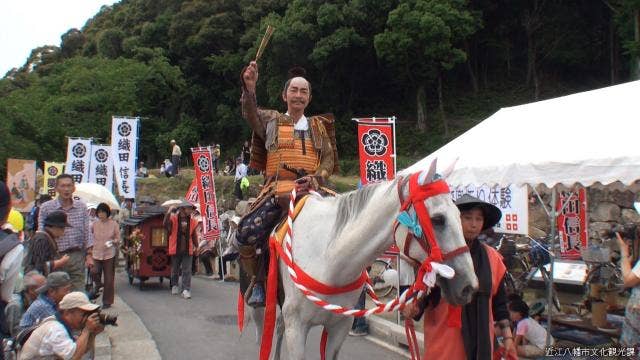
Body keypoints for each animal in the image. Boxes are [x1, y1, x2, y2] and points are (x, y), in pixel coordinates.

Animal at [262, 163, 478, 360]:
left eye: (460, 215)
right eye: (438, 219)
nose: (469, 286)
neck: (329, 259)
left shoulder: (340, 326)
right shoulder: (296, 327)